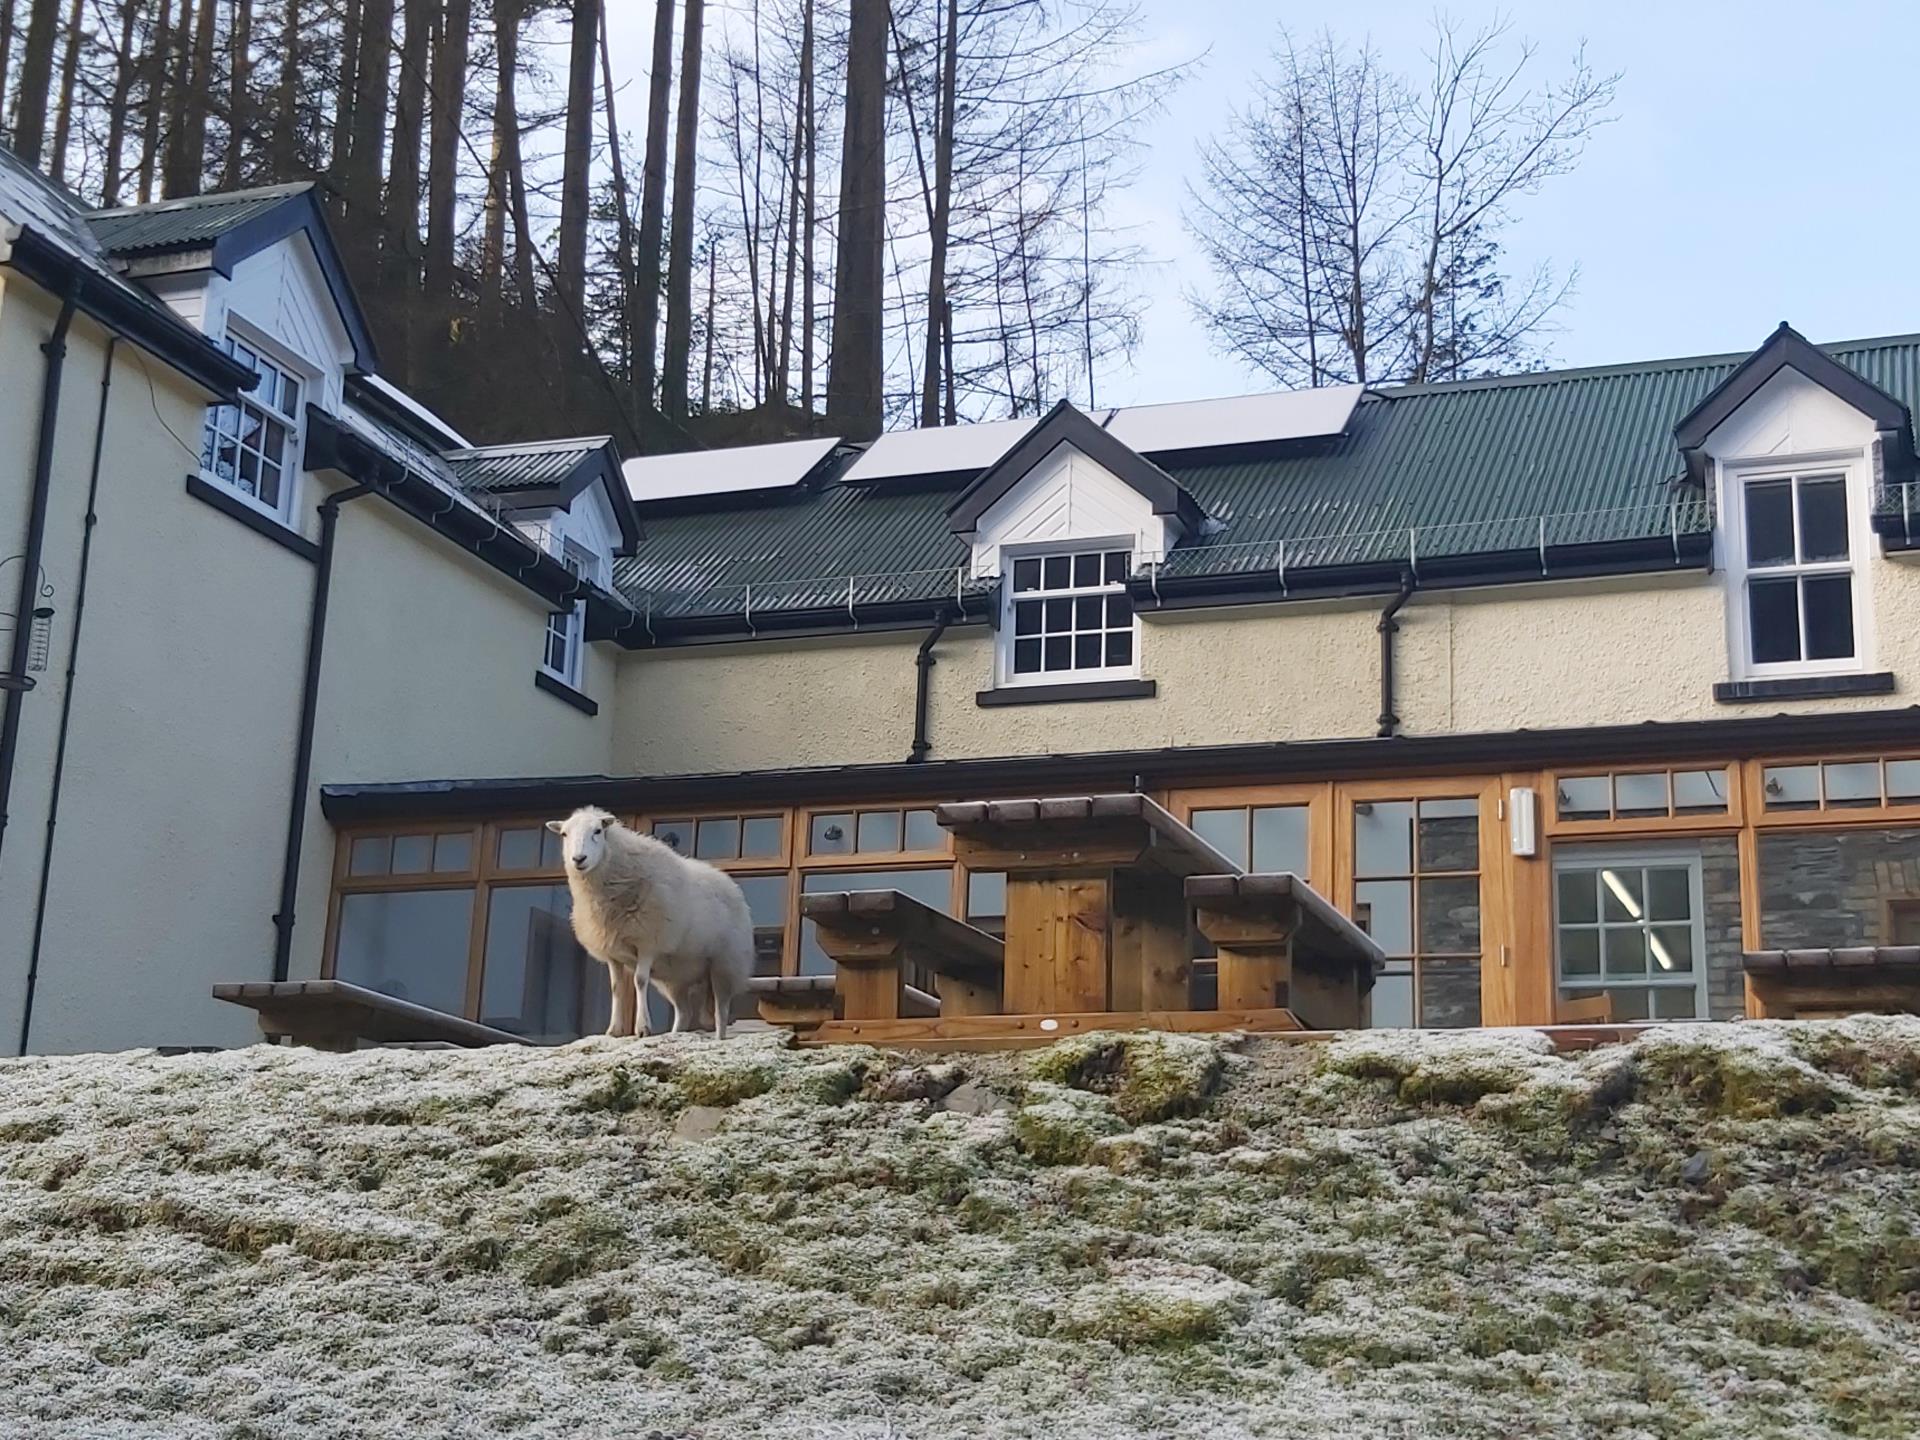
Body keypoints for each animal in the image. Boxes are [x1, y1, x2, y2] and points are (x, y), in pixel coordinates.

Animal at [545, 814, 752, 1036]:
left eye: (597, 831)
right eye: (564, 834)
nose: (578, 859)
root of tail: (732, 886)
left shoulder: (647, 941)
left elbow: (640, 980)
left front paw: (642, 1027)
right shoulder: (613, 952)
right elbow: (616, 987)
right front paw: (614, 1029)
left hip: (725, 964)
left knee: (721, 1013)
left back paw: (718, 1038)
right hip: (676, 978)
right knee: (684, 1012)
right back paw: (674, 1034)